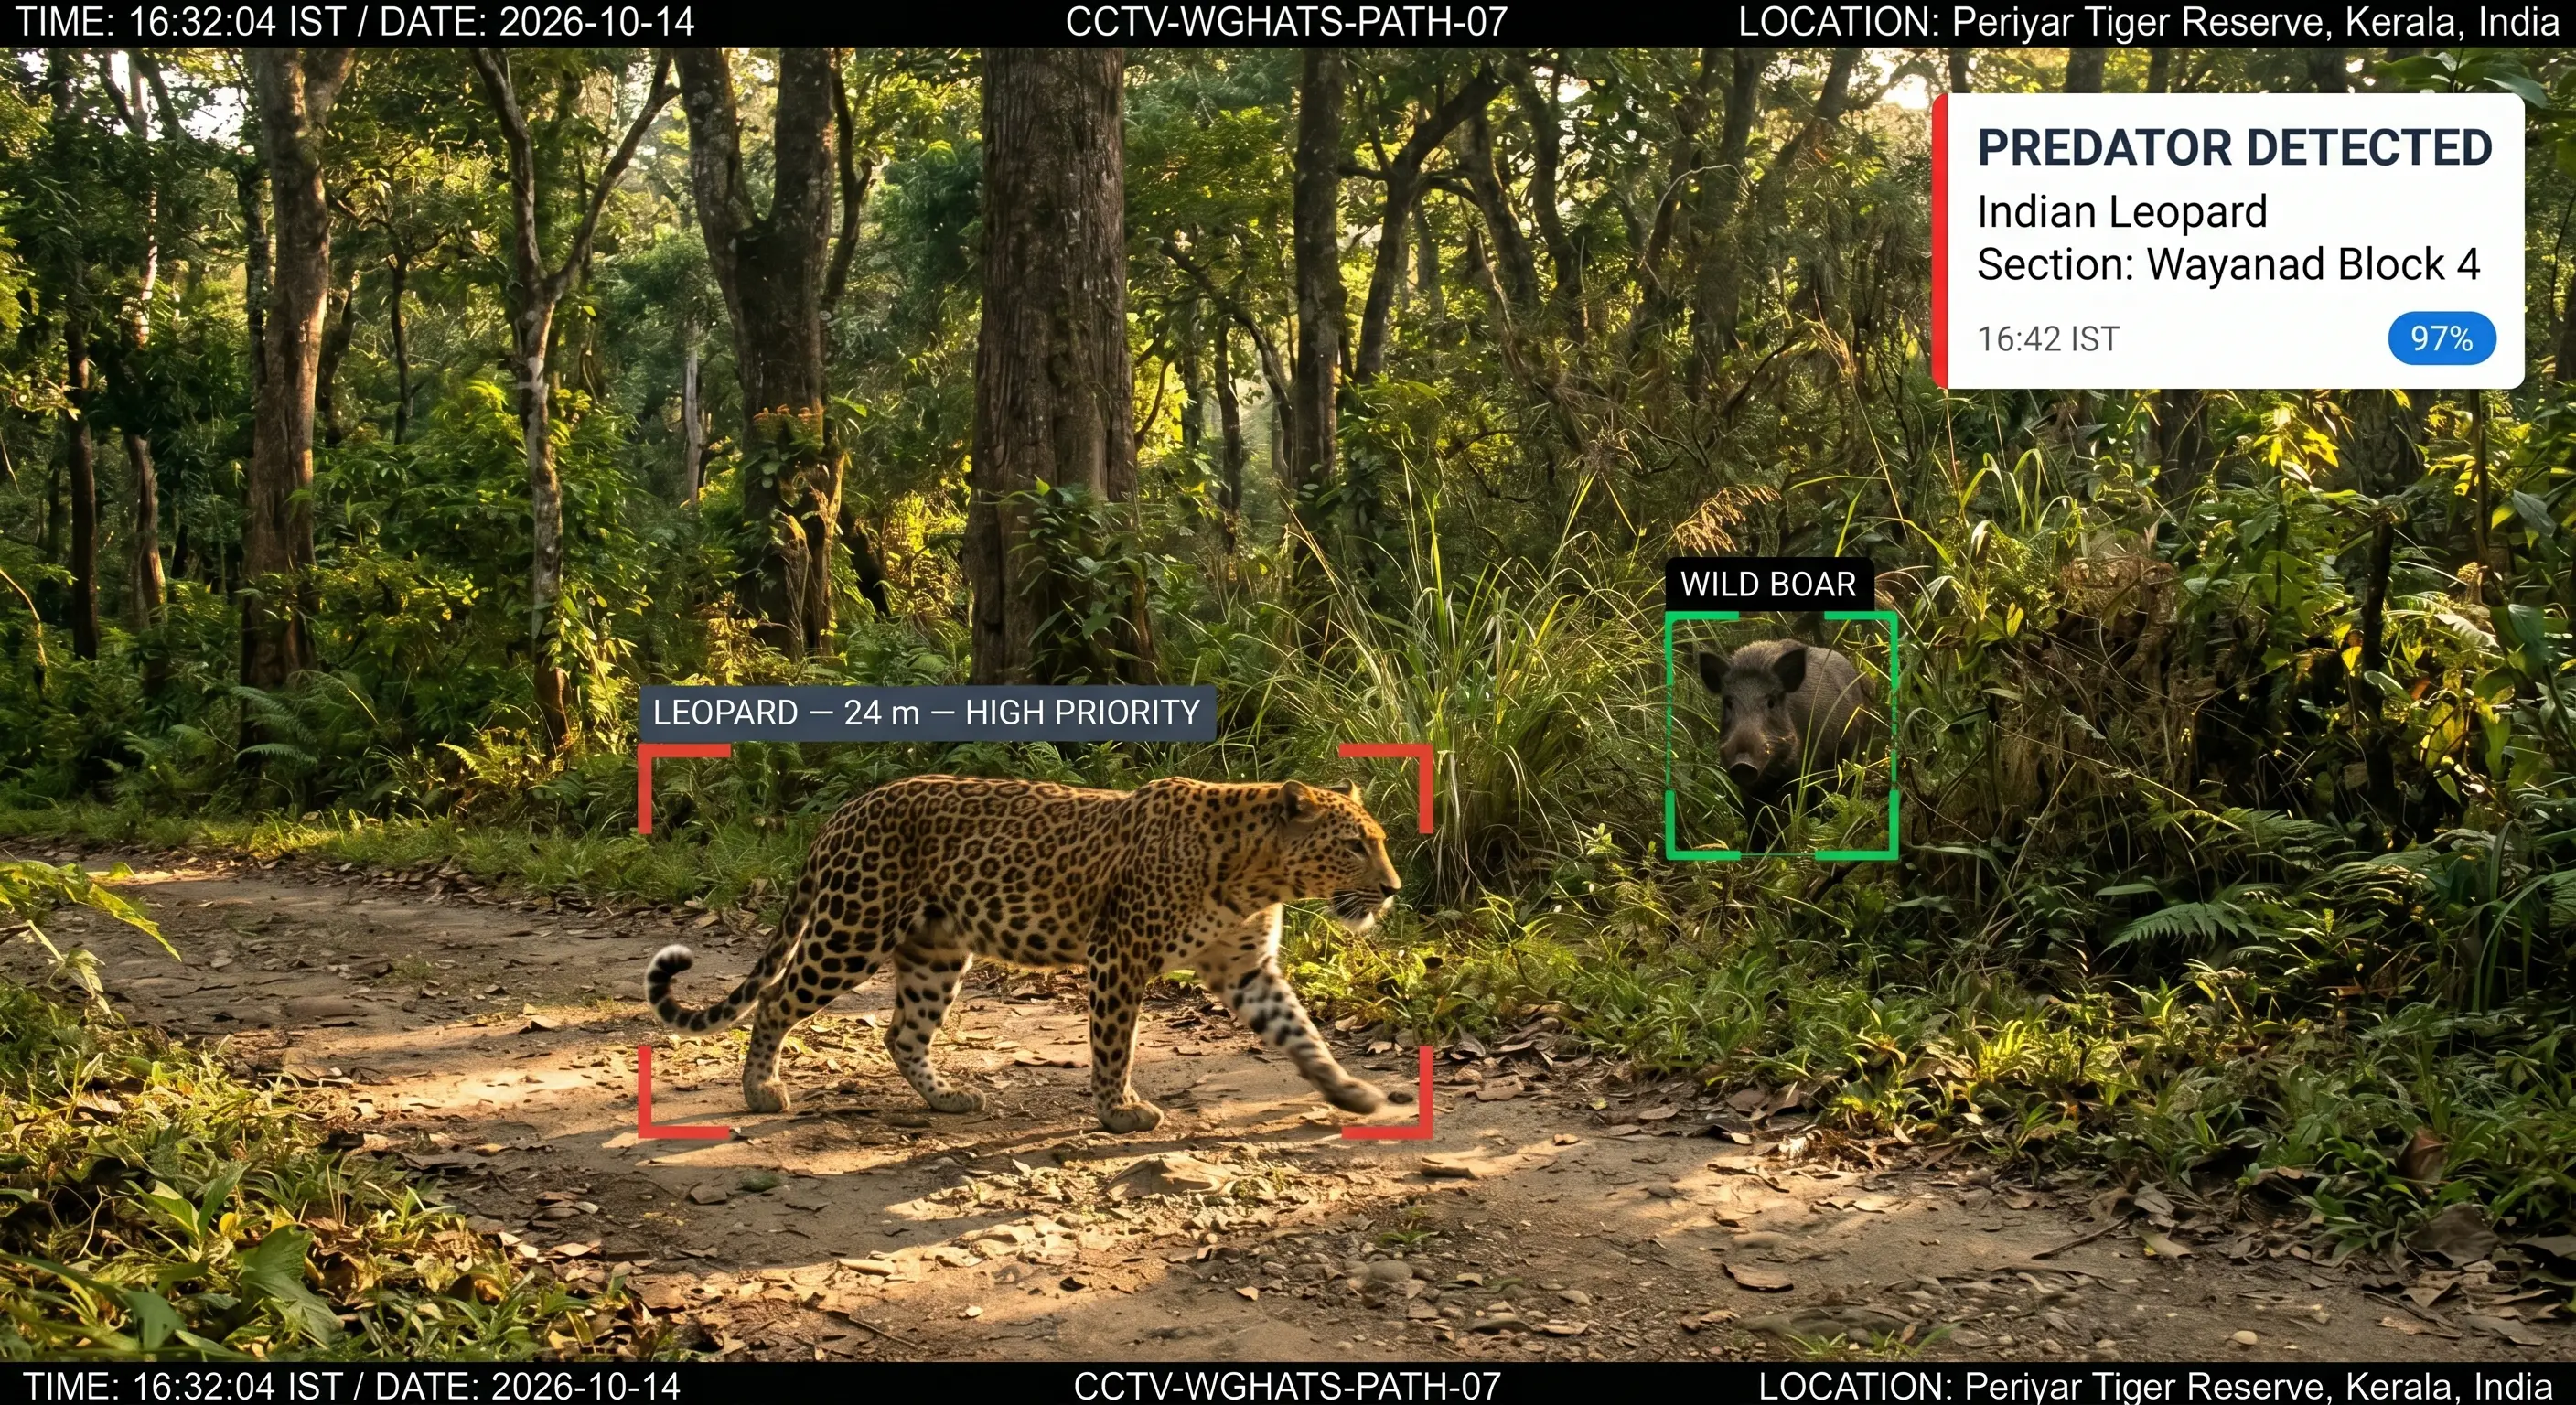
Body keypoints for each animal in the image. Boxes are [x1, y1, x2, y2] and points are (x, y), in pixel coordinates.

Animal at [644, 773, 1404, 1133]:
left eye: (1380, 840)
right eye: (1353, 844)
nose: (1395, 890)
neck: (1257, 874)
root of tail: (846, 810)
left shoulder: (1246, 970)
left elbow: (1302, 1035)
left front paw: (1350, 1091)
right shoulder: (1117, 954)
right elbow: (1114, 1043)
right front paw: (1119, 1111)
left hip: (935, 951)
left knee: (902, 1033)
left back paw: (949, 1098)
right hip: (852, 930)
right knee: (777, 997)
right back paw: (761, 1090)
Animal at [1695, 639, 1886, 847]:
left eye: (1771, 702)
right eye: (1728, 703)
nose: (1742, 764)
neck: (1772, 776)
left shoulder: (1808, 768)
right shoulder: (1749, 789)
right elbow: (1756, 819)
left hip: (1854, 748)